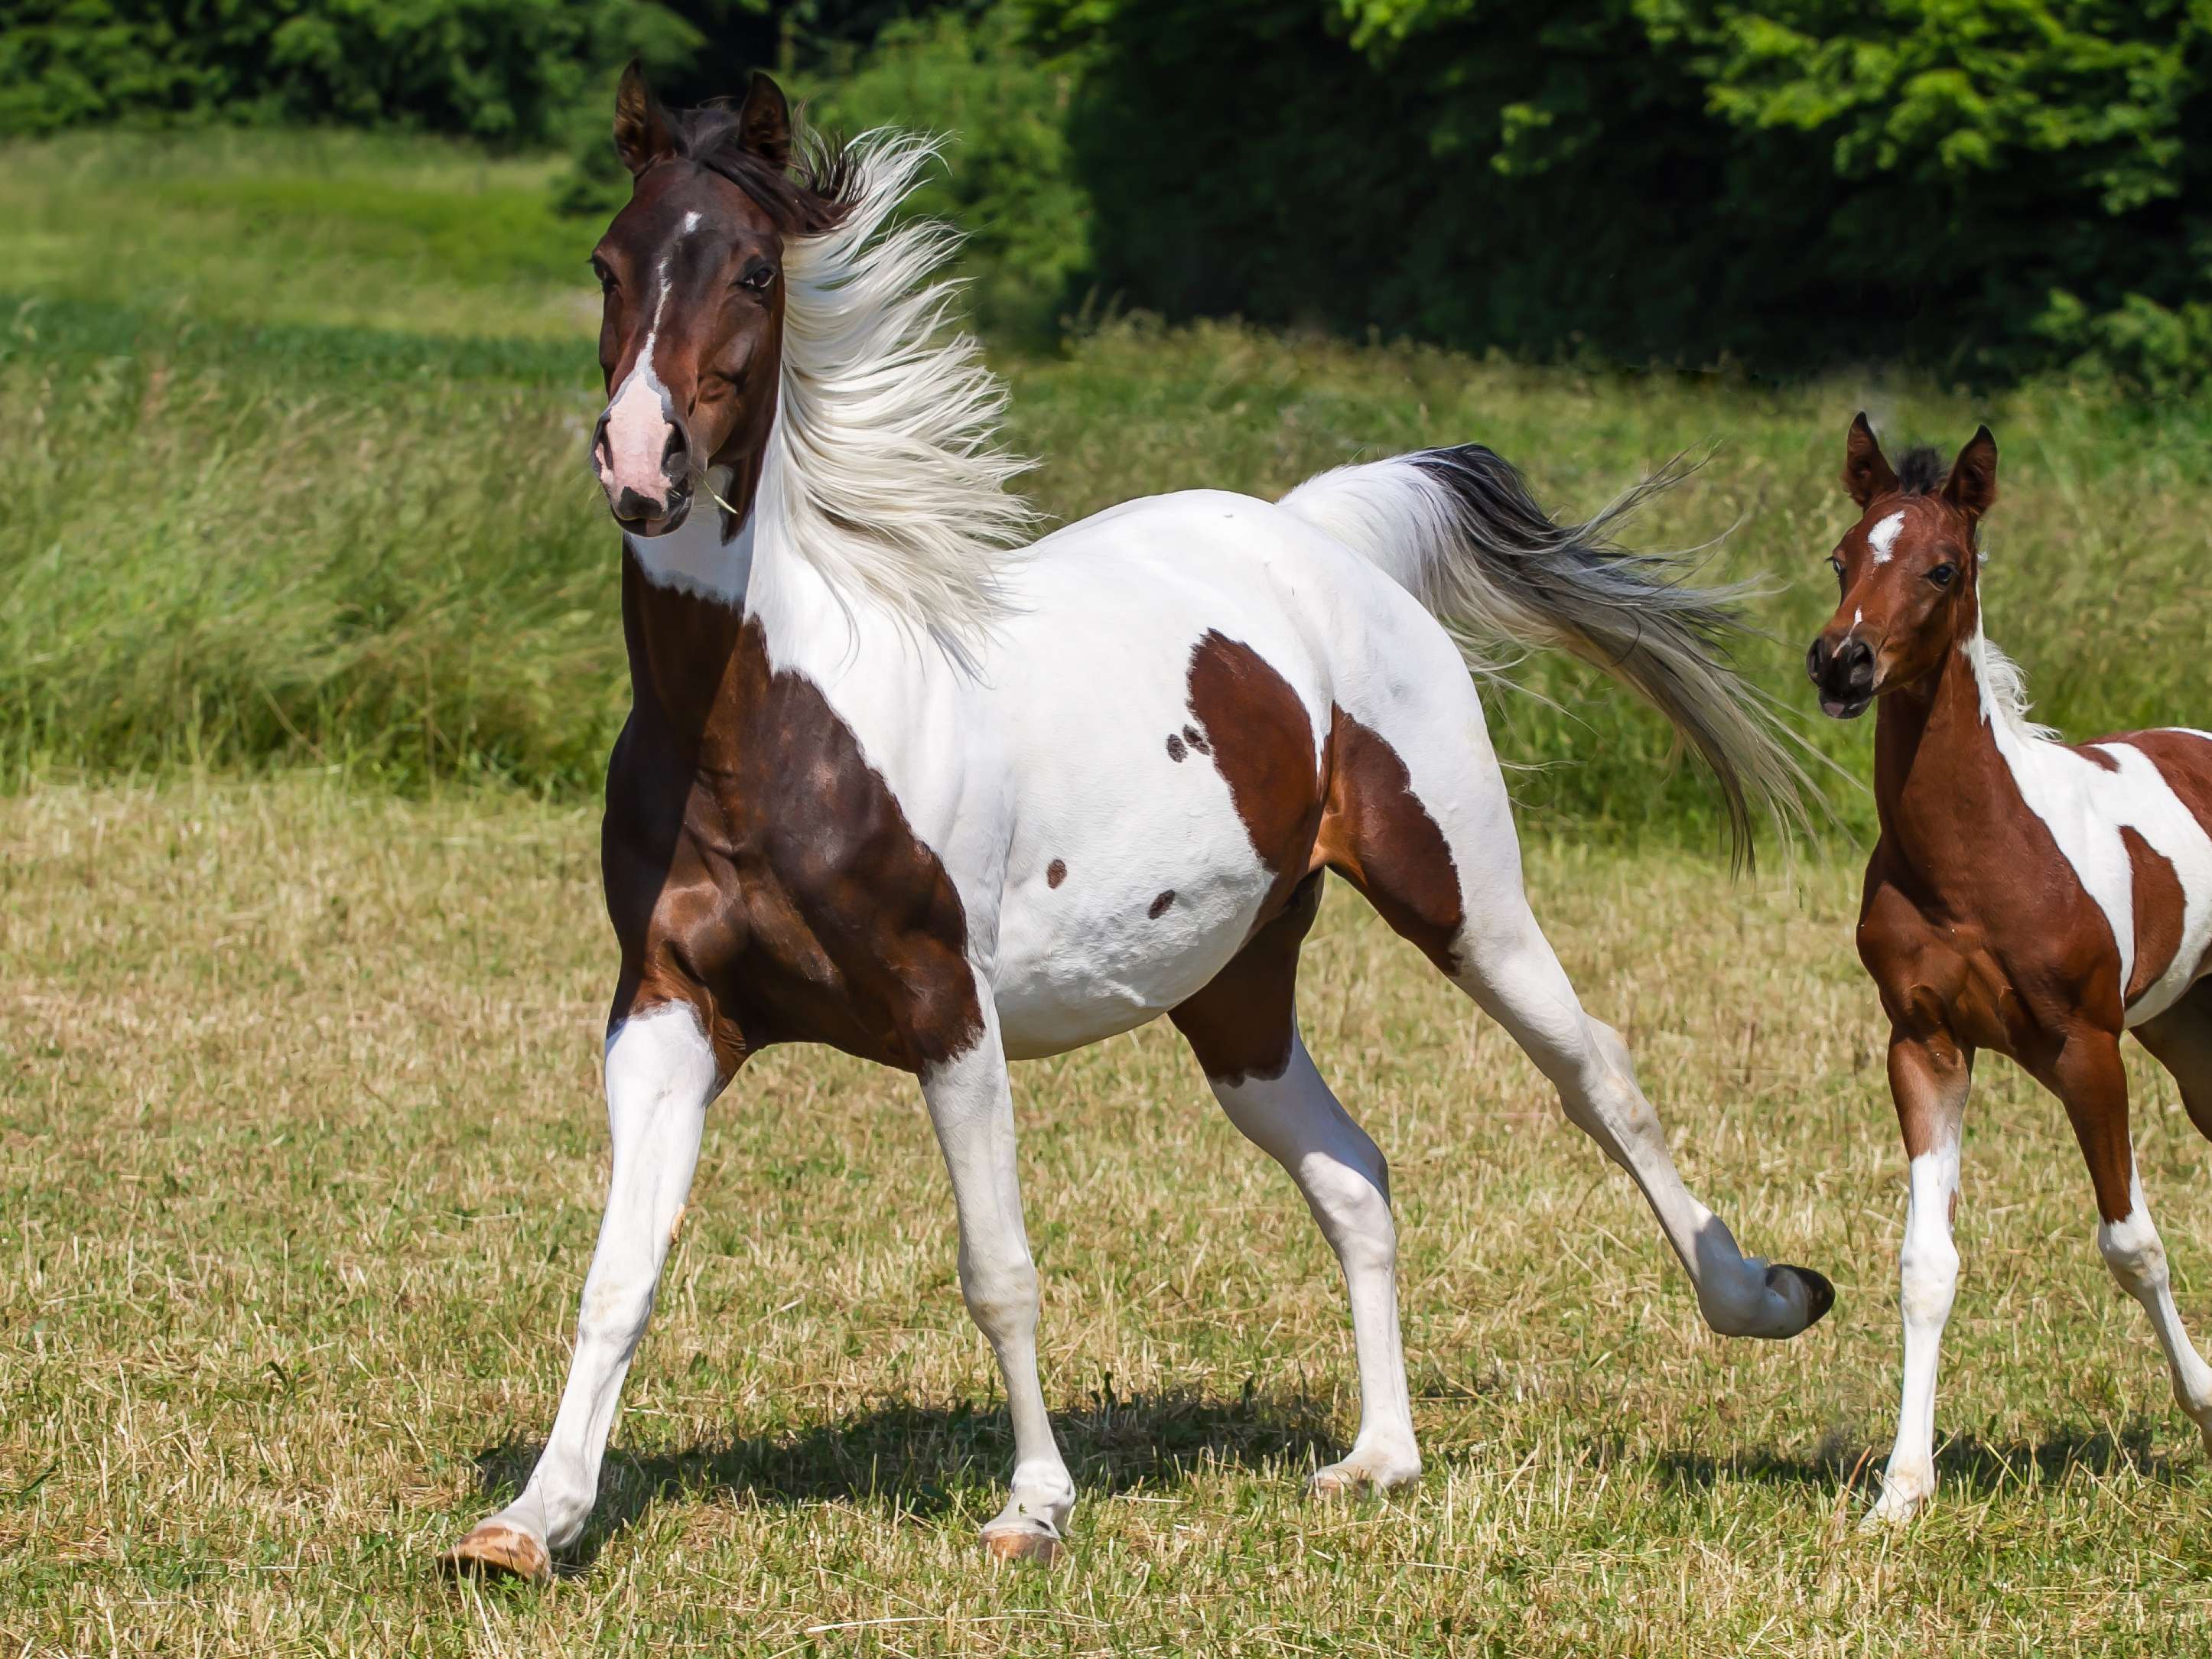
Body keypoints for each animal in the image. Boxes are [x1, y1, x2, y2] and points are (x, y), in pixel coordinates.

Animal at [440, 64, 1834, 1580]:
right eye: (609, 262)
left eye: (754, 268)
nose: (645, 465)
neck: (768, 722)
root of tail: (1313, 531)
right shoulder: (669, 1008)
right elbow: (619, 1272)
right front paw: (528, 1520)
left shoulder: (948, 1012)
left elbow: (996, 1268)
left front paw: (1034, 1504)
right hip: (1236, 993)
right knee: (1354, 1172)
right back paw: (1377, 1458)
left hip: (1466, 899)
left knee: (1597, 1078)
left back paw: (1762, 1296)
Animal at [1809, 415, 2212, 1524]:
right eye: (1843, 557)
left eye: (1944, 566)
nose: (1841, 662)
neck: (1978, 852)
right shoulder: (1926, 1045)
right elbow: (1926, 1263)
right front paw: (1902, 1489)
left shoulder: (2086, 1049)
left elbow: (2132, 1243)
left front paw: (2208, 1405)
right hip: (2190, 1036)